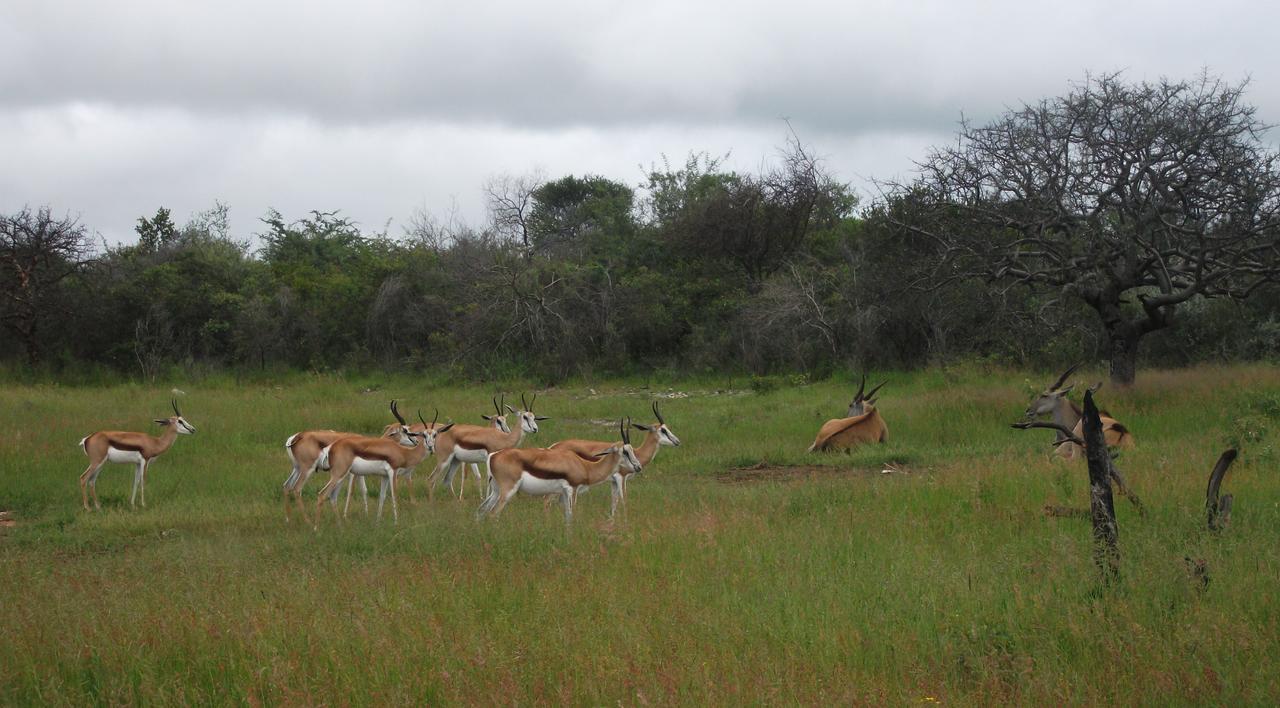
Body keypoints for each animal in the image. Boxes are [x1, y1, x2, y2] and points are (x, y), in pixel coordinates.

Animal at [478, 414, 645, 524]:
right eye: (625, 451)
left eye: (632, 449)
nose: (638, 467)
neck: (585, 466)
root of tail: (493, 456)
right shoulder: (573, 490)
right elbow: (571, 516)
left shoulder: (563, 493)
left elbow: (566, 516)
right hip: (508, 491)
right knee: (493, 514)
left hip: (496, 491)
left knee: (482, 510)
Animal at [545, 399, 675, 517]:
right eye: (663, 430)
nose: (677, 441)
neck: (638, 453)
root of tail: (553, 446)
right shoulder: (620, 478)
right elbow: (623, 500)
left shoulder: (613, 482)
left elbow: (614, 502)